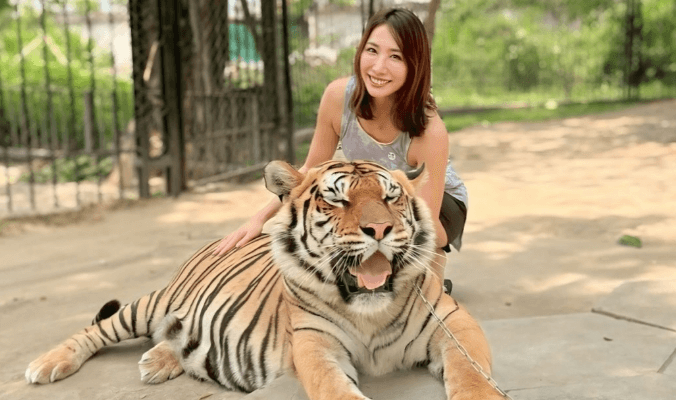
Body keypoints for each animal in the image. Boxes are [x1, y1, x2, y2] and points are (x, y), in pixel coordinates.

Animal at [25, 160, 503, 400]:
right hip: (152, 303)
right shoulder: (314, 346)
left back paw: (159, 360)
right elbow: (335, 389)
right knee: (97, 328)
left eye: (391, 197)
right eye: (337, 199)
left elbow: (472, 375)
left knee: (176, 337)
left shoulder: (455, 324)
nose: (380, 229)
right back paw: (46, 364)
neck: (371, 310)